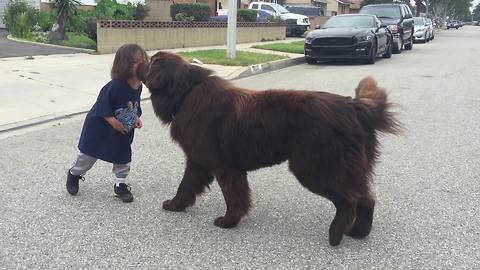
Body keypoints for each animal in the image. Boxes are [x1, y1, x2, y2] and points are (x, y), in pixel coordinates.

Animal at [141, 51, 400, 246]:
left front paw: (228, 221)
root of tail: (354, 106)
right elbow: (187, 186)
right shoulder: (199, 161)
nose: (141, 60)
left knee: (348, 200)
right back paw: (357, 232)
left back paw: (336, 234)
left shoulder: (224, 166)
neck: (186, 92)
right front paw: (175, 206)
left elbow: (232, 196)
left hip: (316, 168)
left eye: (150, 61)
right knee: (366, 198)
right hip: (349, 168)